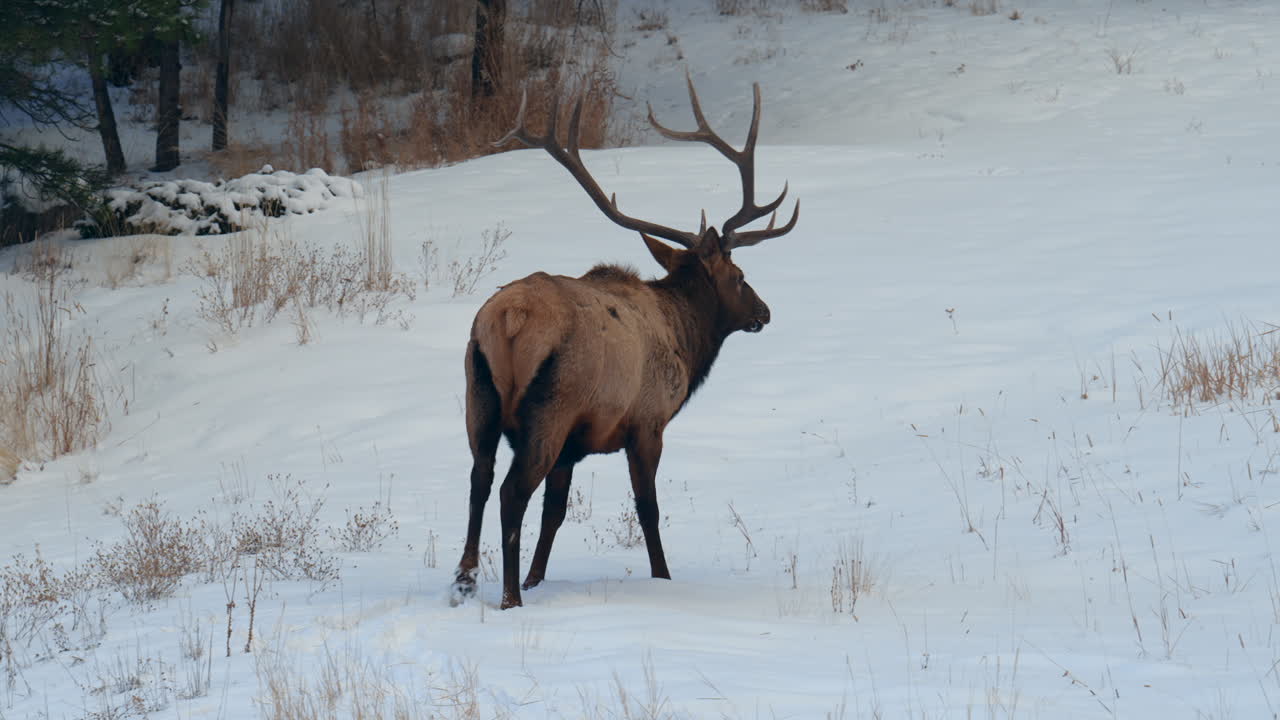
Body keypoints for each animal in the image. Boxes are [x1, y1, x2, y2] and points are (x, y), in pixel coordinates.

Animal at [450, 77, 799, 609]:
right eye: (740, 276)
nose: (764, 312)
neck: (685, 340)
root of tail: (509, 318)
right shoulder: (647, 422)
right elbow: (647, 508)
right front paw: (663, 577)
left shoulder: (575, 445)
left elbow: (555, 513)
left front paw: (536, 578)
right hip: (549, 407)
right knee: (512, 493)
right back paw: (509, 598)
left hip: (478, 394)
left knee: (479, 480)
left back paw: (465, 580)